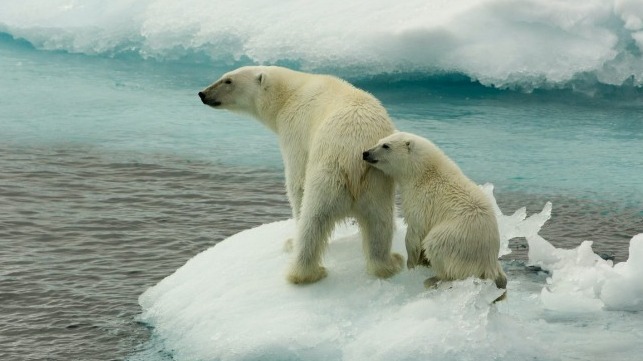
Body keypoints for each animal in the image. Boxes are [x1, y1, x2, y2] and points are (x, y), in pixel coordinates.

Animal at [199, 66, 406, 282]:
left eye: (228, 80)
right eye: (224, 76)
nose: (203, 94)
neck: (290, 93)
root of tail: (354, 159)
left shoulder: (295, 129)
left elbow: (296, 179)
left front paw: (291, 240)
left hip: (329, 175)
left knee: (313, 220)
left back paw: (303, 270)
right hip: (377, 182)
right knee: (379, 223)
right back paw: (389, 263)